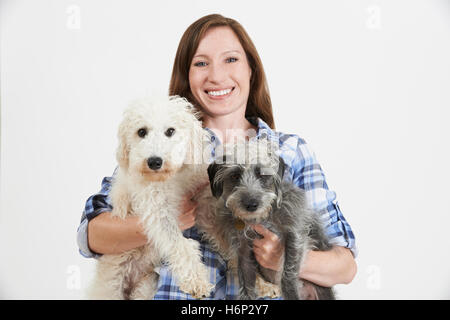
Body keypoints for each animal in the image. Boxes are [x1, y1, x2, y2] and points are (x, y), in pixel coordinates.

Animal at [89, 95, 214, 300]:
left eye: (170, 131)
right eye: (141, 132)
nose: (154, 161)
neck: (171, 177)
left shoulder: (199, 190)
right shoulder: (157, 211)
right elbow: (180, 244)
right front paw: (196, 280)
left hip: (146, 287)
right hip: (111, 286)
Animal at [204, 140, 334, 300]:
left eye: (262, 174)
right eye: (234, 175)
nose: (251, 204)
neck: (260, 218)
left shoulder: (295, 234)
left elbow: (288, 271)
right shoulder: (244, 250)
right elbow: (246, 283)